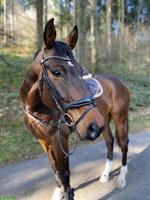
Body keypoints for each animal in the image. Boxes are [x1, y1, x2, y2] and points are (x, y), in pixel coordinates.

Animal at [19, 18, 130, 199]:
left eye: (80, 70)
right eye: (56, 72)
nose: (93, 125)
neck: (37, 109)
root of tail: (120, 81)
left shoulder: (60, 140)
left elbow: (64, 173)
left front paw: (67, 192)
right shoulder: (44, 141)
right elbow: (55, 169)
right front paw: (58, 192)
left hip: (119, 119)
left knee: (124, 144)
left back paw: (121, 178)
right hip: (104, 121)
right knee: (109, 142)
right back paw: (106, 174)